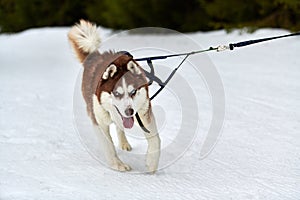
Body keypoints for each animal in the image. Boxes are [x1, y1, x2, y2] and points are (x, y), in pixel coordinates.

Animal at [68, 20, 161, 173]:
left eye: (133, 92)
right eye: (116, 93)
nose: (129, 111)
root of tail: (95, 56)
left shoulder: (144, 113)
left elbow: (156, 140)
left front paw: (152, 163)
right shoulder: (98, 120)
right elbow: (108, 146)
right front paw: (117, 164)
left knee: (119, 127)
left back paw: (124, 143)